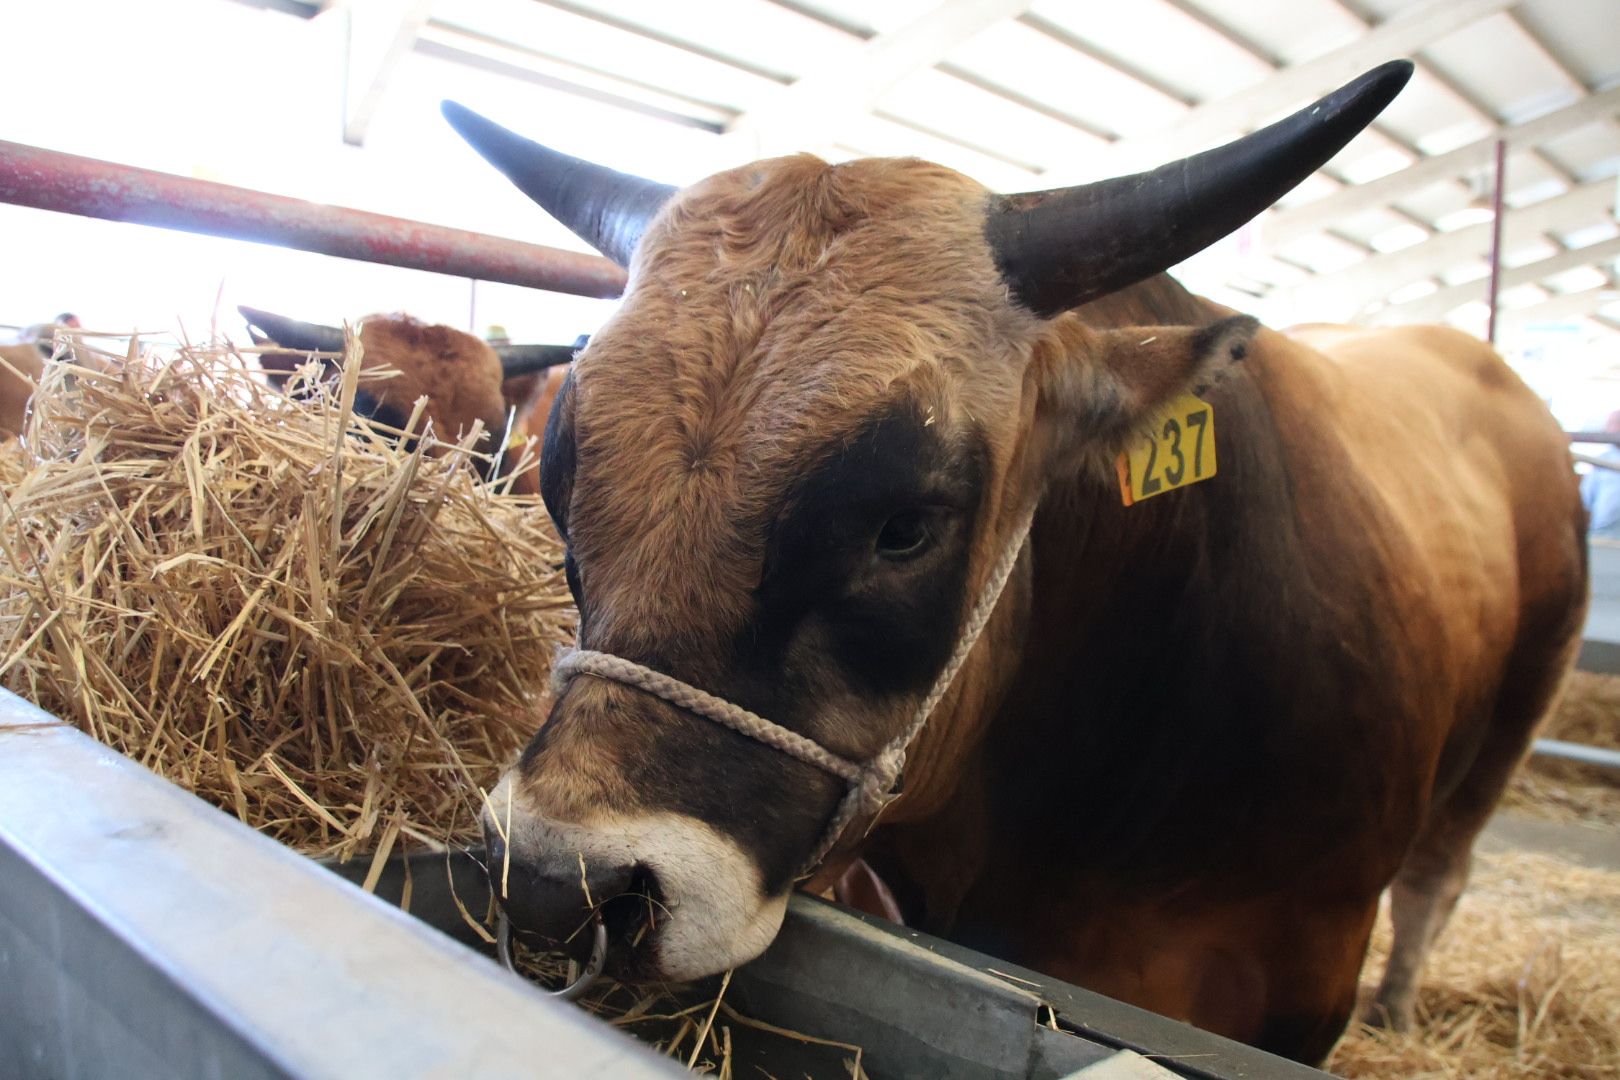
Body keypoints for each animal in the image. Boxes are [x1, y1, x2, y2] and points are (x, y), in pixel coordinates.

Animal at [440, 59, 1581, 1062]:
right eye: (557, 479)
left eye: (907, 524)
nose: (556, 883)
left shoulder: (1306, 986)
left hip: (1513, 724)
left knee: (1439, 876)